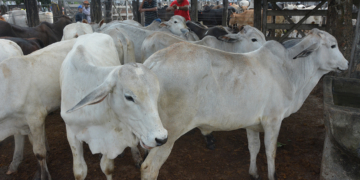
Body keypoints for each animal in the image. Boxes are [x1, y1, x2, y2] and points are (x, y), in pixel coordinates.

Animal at [59, 33, 168, 179]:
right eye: (128, 97)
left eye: (157, 93)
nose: (161, 138)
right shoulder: (72, 134)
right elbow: (80, 172)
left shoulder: (110, 137)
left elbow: (107, 168)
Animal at [141, 28, 348, 179]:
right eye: (333, 45)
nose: (346, 64)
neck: (289, 70)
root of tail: (151, 63)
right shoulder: (273, 120)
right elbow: (271, 151)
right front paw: (272, 176)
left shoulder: (252, 123)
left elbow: (254, 147)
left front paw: (253, 173)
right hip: (169, 133)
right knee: (149, 168)